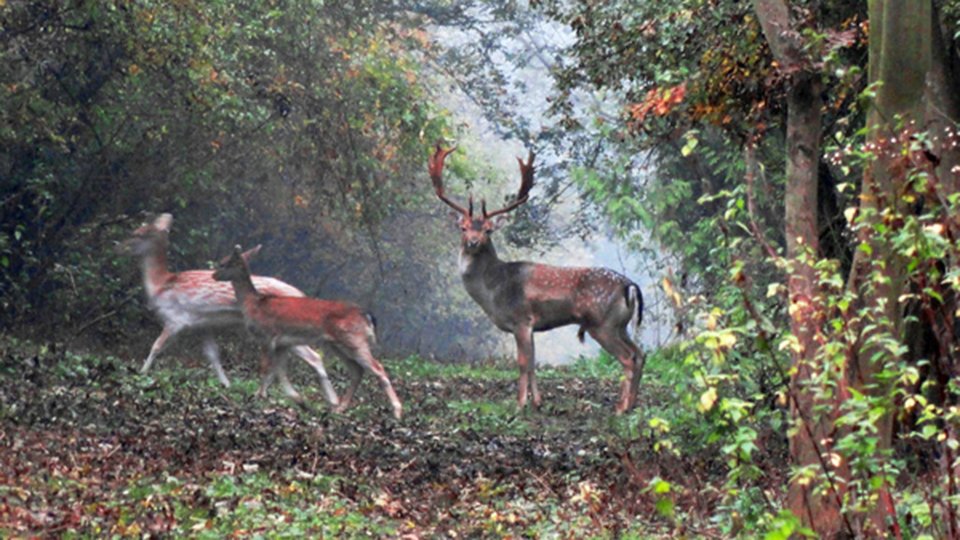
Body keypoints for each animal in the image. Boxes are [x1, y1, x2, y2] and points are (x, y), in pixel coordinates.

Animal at [123, 213, 338, 406]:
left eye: (139, 234)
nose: (121, 246)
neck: (160, 285)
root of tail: (301, 294)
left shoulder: (176, 319)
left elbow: (156, 346)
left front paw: (141, 373)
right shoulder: (202, 325)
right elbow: (213, 355)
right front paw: (226, 384)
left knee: (313, 357)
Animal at [213, 244, 403, 420]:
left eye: (224, 263)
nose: (213, 275)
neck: (253, 304)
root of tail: (367, 316)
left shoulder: (267, 336)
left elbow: (265, 368)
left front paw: (259, 398)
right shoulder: (282, 343)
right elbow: (278, 372)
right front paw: (293, 400)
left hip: (354, 340)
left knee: (378, 367)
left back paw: (397, 411)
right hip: (337, 345)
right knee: (357, 371)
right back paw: (340, 408)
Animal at [429, 145, 645, 413]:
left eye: (489, 229)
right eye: (464, 227)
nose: (473, 242)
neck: (494, 290)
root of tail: (630, 285)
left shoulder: (521, 318)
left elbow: (523, 362)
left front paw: (520, 403)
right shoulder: (531, 325)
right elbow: (532, 362)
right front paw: (537, 401)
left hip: (601, 323)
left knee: (628, 358)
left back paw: (620, 408)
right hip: (620, 324)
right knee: (640, 354)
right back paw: (631, 404)